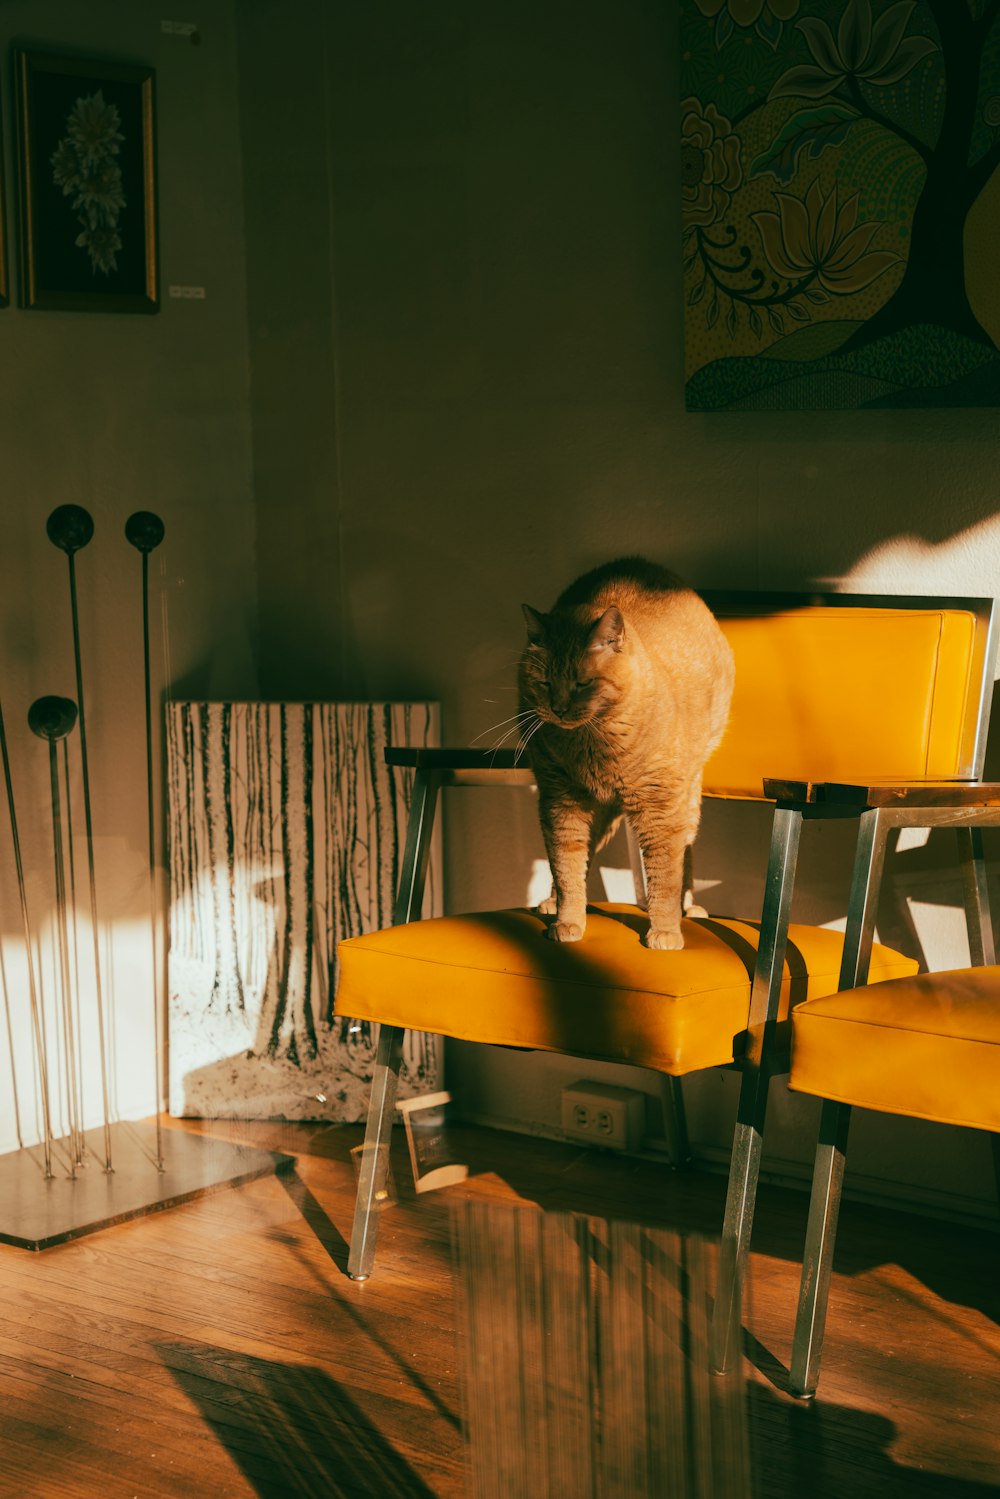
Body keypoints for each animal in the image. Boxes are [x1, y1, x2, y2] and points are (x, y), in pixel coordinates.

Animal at [521, 557, 731, 953]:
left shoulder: (660, 811)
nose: (558, 708)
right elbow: (566, 868)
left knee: (686, 855)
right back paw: (551, 903)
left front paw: (665, 929)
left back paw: (689, 907)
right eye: (544, 683)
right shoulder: (561, 803)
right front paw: (568, 920)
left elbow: (664, 878)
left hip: (687, 801)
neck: (595, 742)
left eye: (583, 683)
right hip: (599, 816)